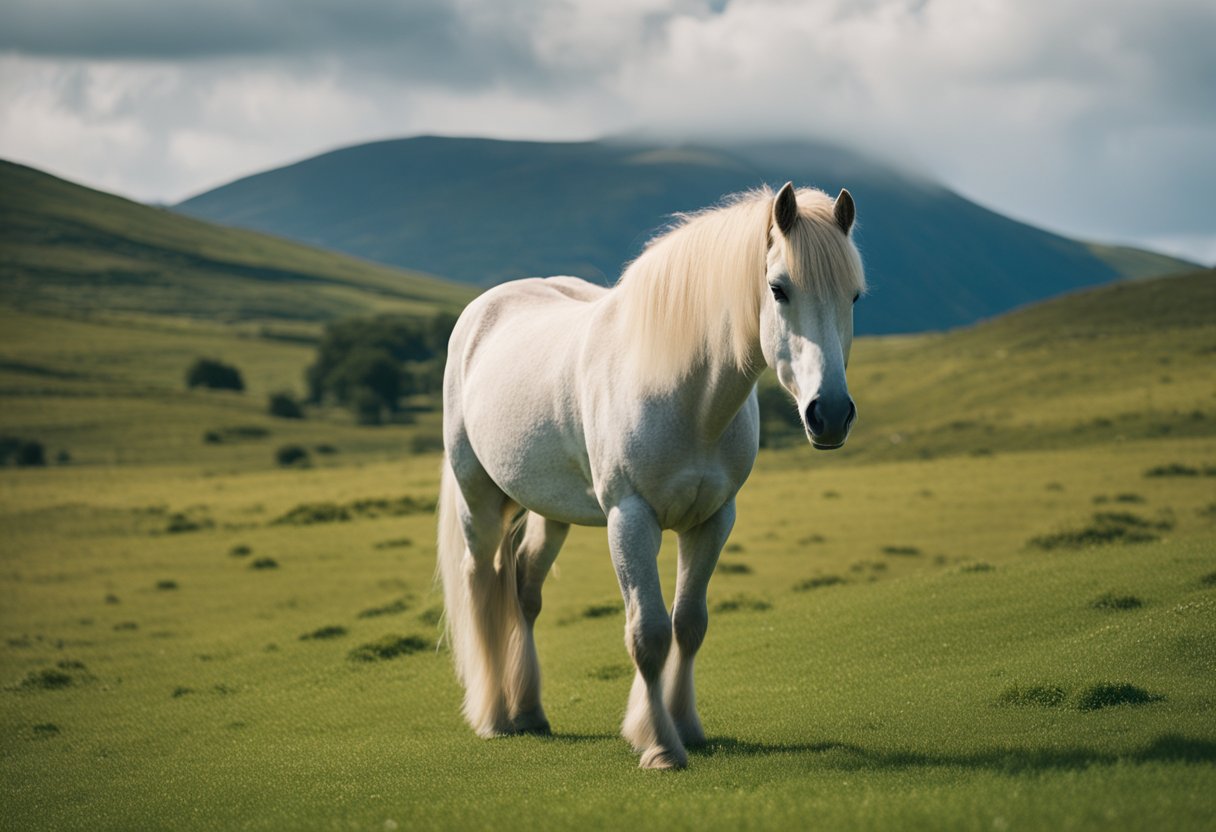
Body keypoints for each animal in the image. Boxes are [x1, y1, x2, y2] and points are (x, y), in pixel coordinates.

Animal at [437, 182, 865, 768]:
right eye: (779, 289)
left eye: (854, 296)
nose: (832, 414)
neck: (687, 396)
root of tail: (481, 311)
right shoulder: (631, 519)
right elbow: (650, 633)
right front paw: (660, 745)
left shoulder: (712, 520)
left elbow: (689, 624)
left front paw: (686, 727)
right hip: (476, 497)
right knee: (481, 582)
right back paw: (497, 718)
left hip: (551, 510)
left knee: (523, 587)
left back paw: (529, 712)